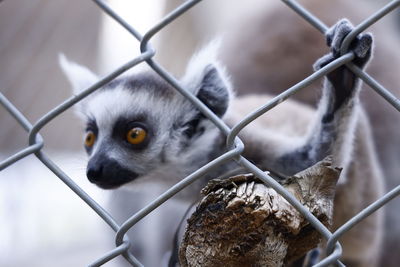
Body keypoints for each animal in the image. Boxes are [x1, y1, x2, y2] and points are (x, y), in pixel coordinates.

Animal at [61, 19, 382, 266]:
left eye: (134, 135)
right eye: (90, 138)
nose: (94, 169)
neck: (198, 166)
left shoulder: (245, 147)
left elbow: (318, 161)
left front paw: (342, 78)